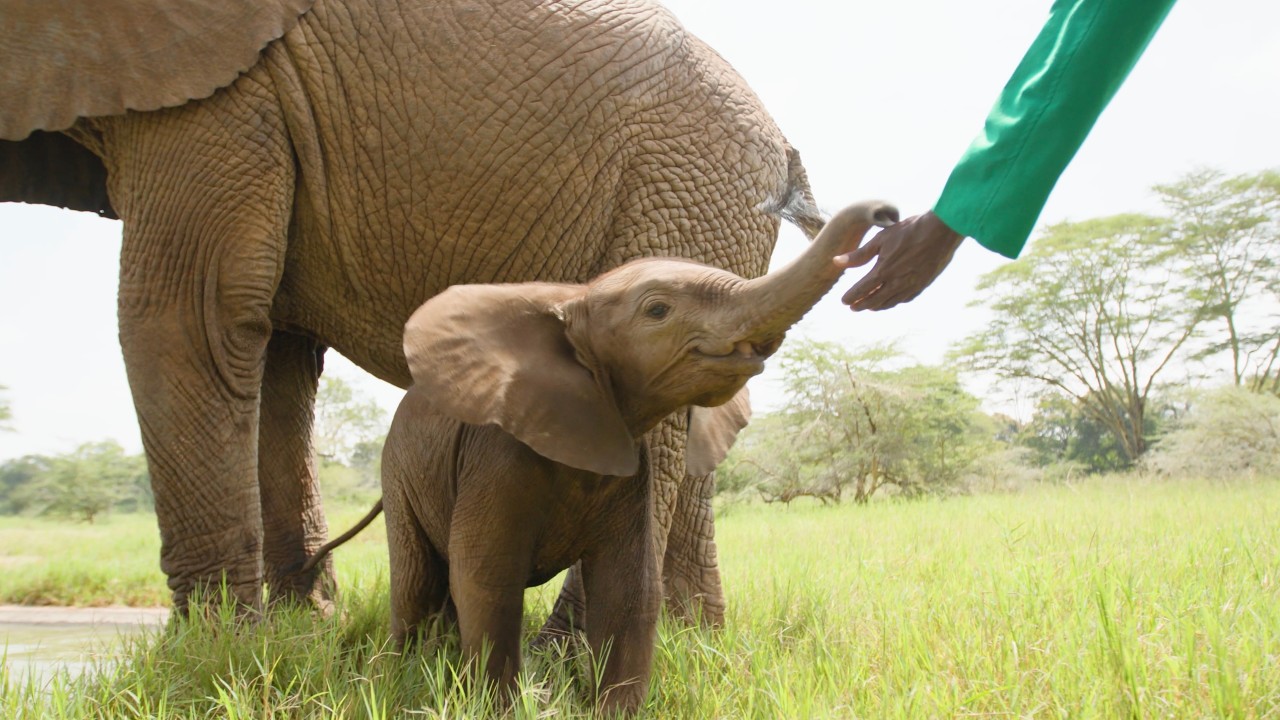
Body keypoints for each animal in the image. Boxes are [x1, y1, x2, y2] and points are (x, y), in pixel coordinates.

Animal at [0, 0, 827, 616]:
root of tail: (783, 148)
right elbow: (273, 349)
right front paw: (298, 632)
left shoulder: (224, 90)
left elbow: (188, 318)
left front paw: (209, 654)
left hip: (686, 188)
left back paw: (567, 664)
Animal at [380, 201, 895, 713]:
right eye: (657, 310)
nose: (885, 214)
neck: (576, 300)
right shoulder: (496, 457)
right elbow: (487, 581)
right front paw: (497, 710)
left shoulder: (631, 469)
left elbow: (628, 588)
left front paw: (614, 712)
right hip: (396, 475)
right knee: (416, 584)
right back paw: (402, 673)